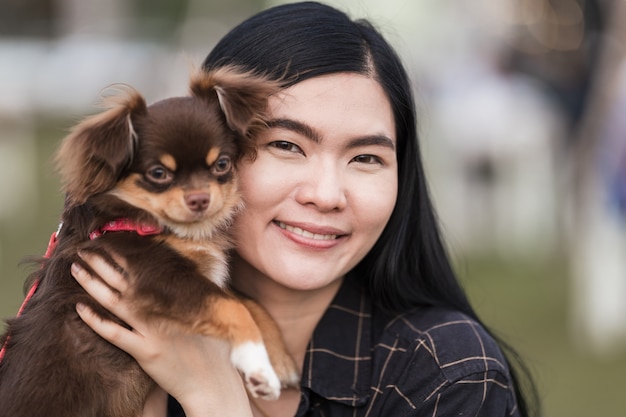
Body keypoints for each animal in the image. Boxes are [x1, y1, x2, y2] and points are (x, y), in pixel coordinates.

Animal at [0, 66, 298, 414]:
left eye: (222, 164)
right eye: (158, 173)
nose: (200, 199)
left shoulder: (196, 277)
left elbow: (248, 302)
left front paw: (279, 358)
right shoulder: (155, 276)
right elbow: (231, 307)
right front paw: (257, 365)